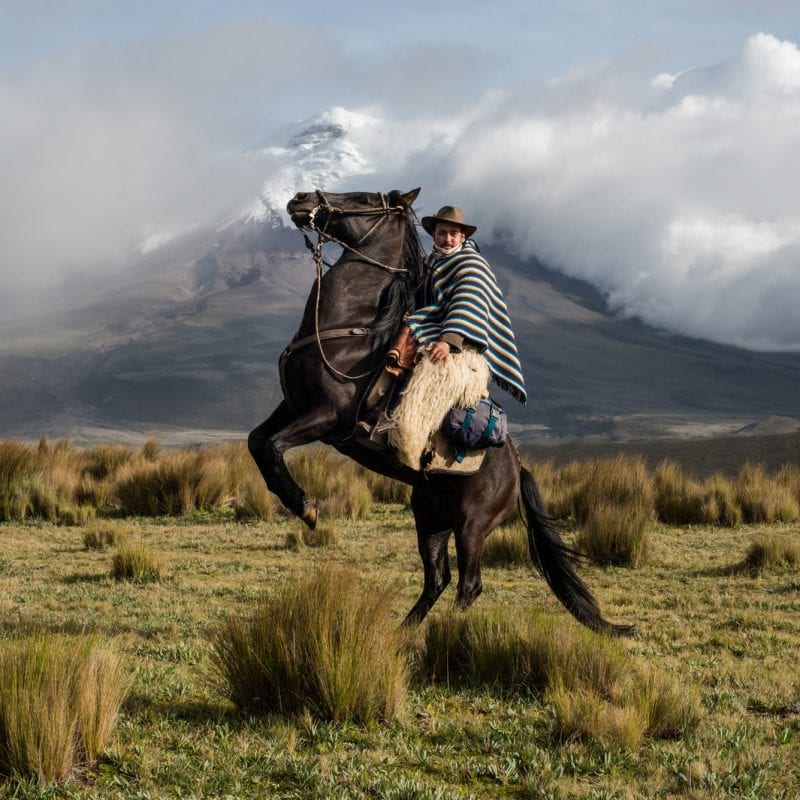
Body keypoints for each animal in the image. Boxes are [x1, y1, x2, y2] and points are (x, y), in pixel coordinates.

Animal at [248, 189, 632, 636]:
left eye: (362, 198)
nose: (300, 198)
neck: (350, 329)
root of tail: (517, 466)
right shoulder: (292, 406)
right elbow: (258, 443)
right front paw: (295, 502)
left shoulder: (327, 417)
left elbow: (275, 446)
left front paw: (307, 509)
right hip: (430, 518)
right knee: (438, 579)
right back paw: (403, 633)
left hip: (472, 525)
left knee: (469, 583)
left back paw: (447, 633)